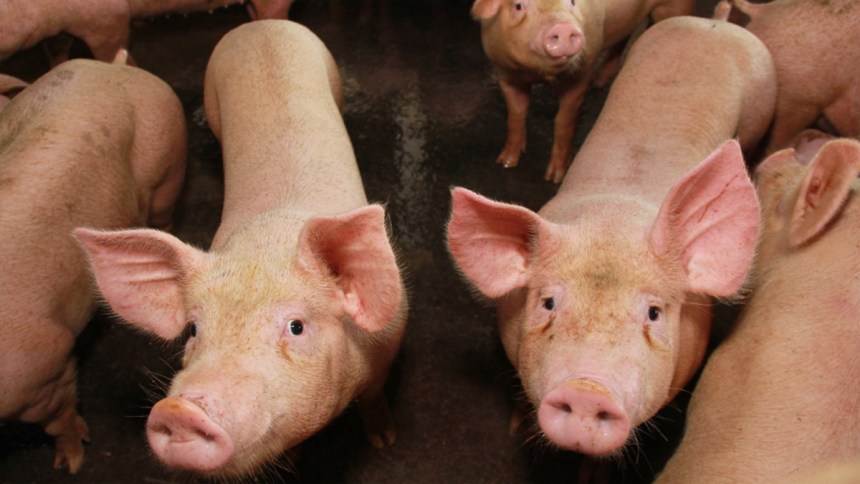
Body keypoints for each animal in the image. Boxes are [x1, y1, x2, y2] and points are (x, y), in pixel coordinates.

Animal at [0, 58, 187, 473]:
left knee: (163, 219)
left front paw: (70, 464)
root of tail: (113, 68)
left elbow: (59, 420)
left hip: (167, 166)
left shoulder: (42, 370)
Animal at [74, 20, 407, 478]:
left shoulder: (386, 351)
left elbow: (374, 400)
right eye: (194, 330)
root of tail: (260, 25)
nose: (180, 411)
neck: (266, 246)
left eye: (296, 326)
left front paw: (383, 441)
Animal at [471, 0, 695, 183]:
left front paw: (554, 178)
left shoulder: (580, 78)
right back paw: (599, 82)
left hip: (674, 6)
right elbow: (516, 115)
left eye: (571, 2)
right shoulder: (506, 74)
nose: (563, 27)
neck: (541, 74)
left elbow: (564, 121)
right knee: (622, 39)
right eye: (518, 6)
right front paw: (505, 162)